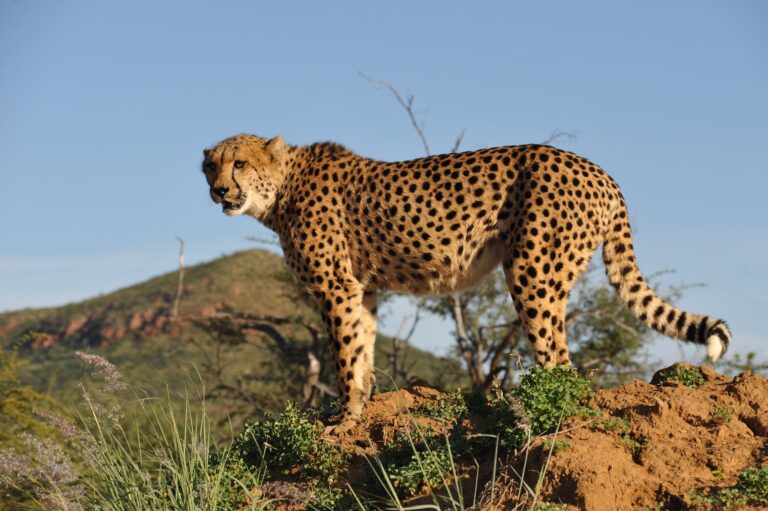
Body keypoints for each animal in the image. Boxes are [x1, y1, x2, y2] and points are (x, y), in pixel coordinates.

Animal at [201, 133, 731, 433]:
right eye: (210, 165)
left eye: (239, 163)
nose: (218, 191)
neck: (281, 190)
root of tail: (598, 170)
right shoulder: (362, 291)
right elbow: (363, 350)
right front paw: (361, 409)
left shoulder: (337, 288)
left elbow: (346, 357)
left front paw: (344, 419)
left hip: (532, 271)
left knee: (560, 361)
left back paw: (534, 418)